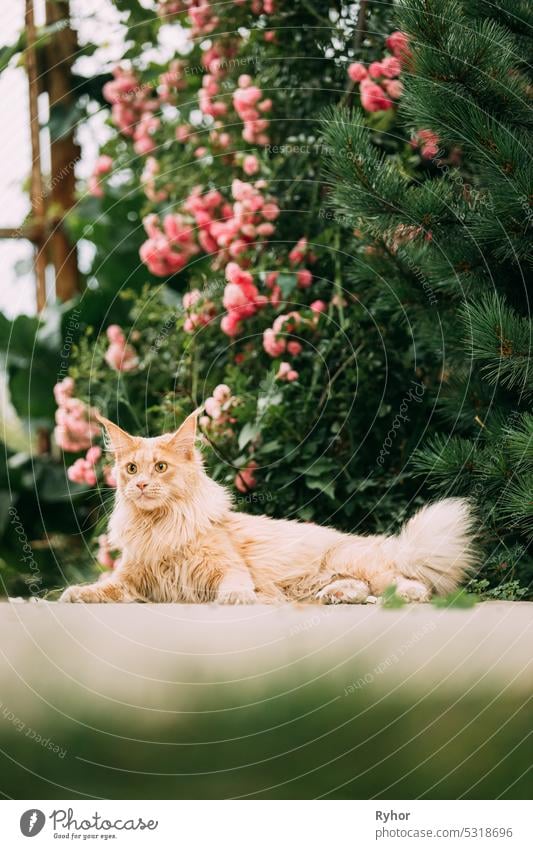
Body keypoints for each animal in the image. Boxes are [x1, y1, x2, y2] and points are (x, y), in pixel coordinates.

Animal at [59, 410, 478, 604]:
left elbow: (233, 583)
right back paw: (336, 595)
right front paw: (77, 592)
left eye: (160, 467)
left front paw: (235, 598)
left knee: (411, 585)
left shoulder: (225, 566)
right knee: (363, 590)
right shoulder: (134, 579)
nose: (142, 484)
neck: (159, 526)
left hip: (360, 563)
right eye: (131, 469)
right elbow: (104, 587)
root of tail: (385, 544)